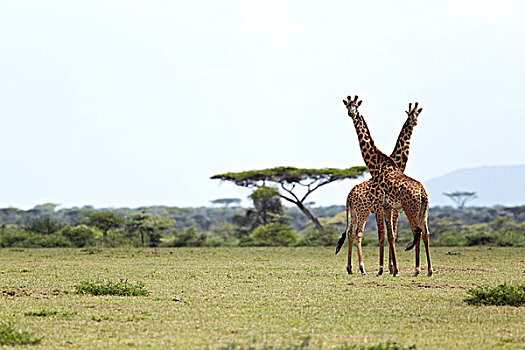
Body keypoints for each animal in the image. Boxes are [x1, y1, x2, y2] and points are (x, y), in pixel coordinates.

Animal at [338, 95, 432, 276]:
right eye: (348, 106)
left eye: (356, 107)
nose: (350, 113)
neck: (378, 164)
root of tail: (349, 194)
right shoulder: (385, 208)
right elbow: (387, 235)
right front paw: (389, 268)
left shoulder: (388, 208)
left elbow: (389, 235)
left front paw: (389, 268)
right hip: (363, 211)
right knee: (355, 232)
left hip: (404, 209)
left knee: (418, 231)